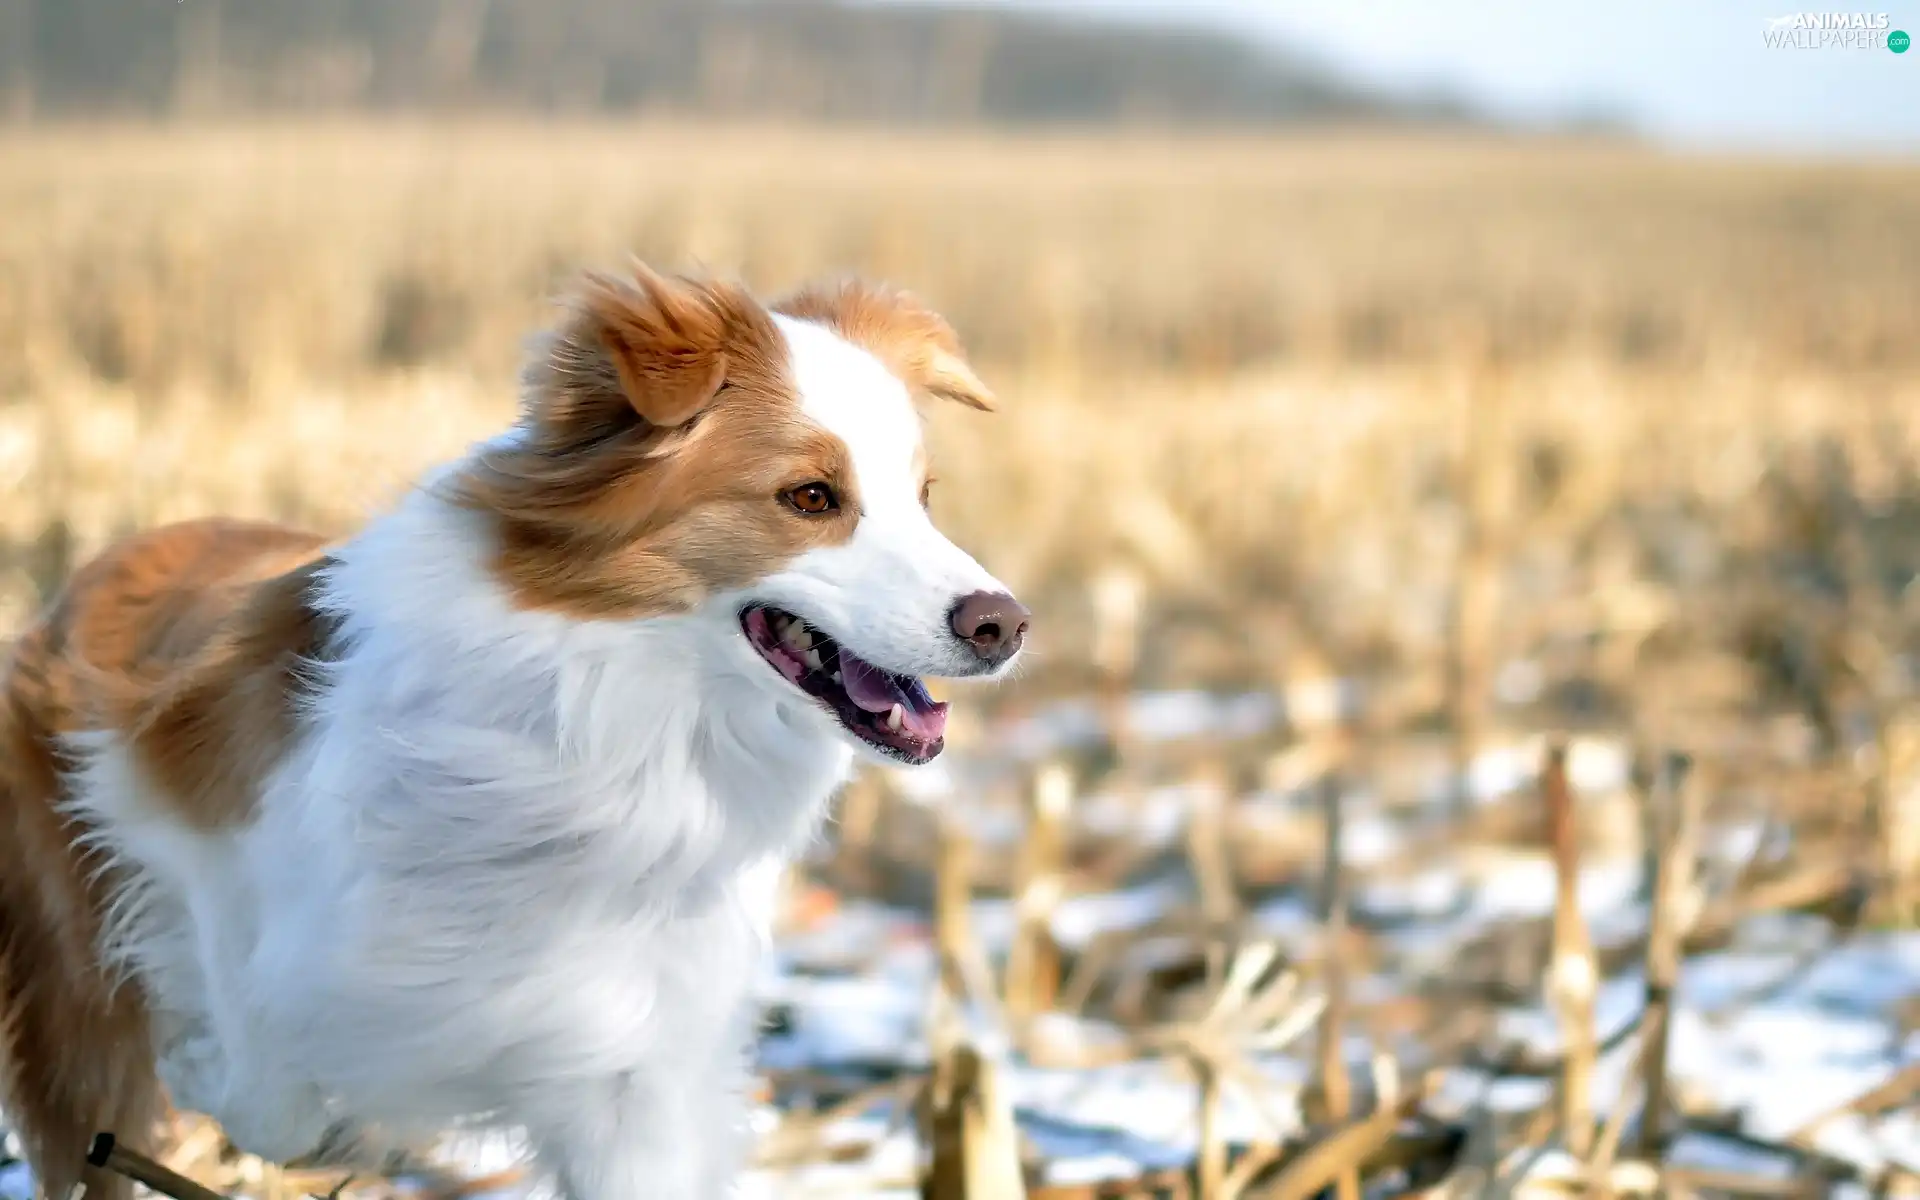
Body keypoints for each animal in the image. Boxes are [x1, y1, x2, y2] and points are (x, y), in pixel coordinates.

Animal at [0, 266, 1029, 1198]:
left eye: (925, 496)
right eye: (812, 497)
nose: (1005, 625)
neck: (610, 722)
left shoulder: (631, 1063)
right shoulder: (181, 833)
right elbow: (266, 1073)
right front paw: (212, 1072)